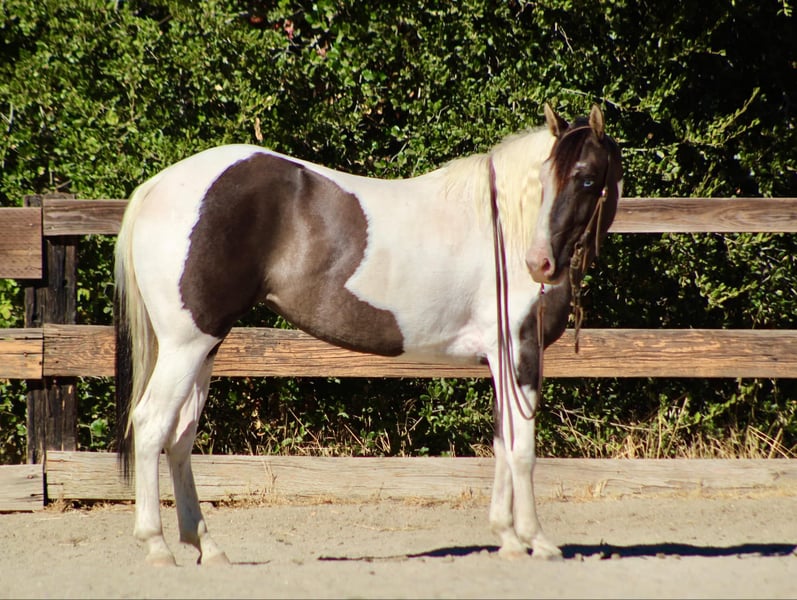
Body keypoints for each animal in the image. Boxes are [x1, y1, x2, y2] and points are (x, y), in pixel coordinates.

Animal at [114, 103, 623, 566]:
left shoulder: (499, 361)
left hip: (205, 348)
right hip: (185, 346)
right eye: (548, 178)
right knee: (152, 424)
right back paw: (157, 546)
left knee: (181, 436)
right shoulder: (519, 353)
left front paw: (509, 539)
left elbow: (502, 442)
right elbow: (521, 450)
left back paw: (207, 547)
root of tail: (158, 186)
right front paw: (538, 542)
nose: (540, 264)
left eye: (586, 180)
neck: (504, 228)